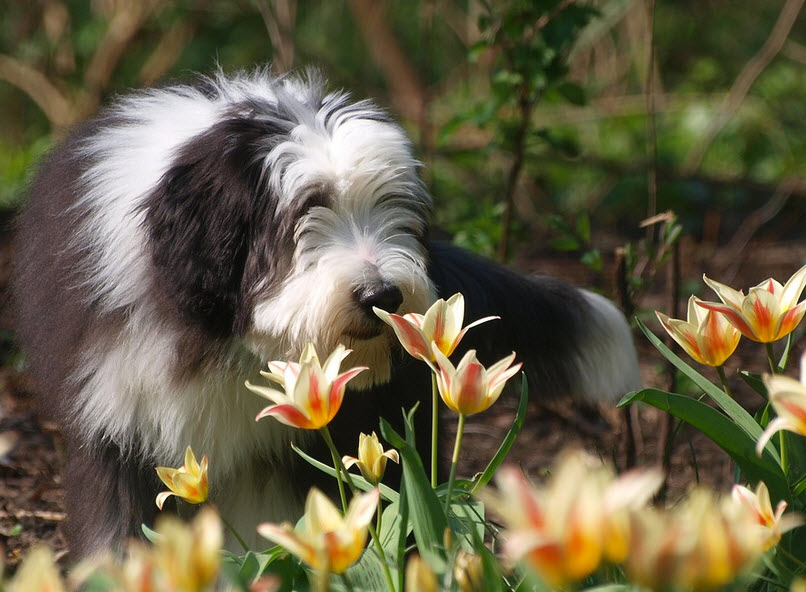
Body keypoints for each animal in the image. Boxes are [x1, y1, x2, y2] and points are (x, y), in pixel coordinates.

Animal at [11, 67, 644, 556]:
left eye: (393, 208)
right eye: (304, 213)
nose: (383, 296)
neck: (226, 342)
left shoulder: (309, 441)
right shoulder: (120, 427)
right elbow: (117, 532)